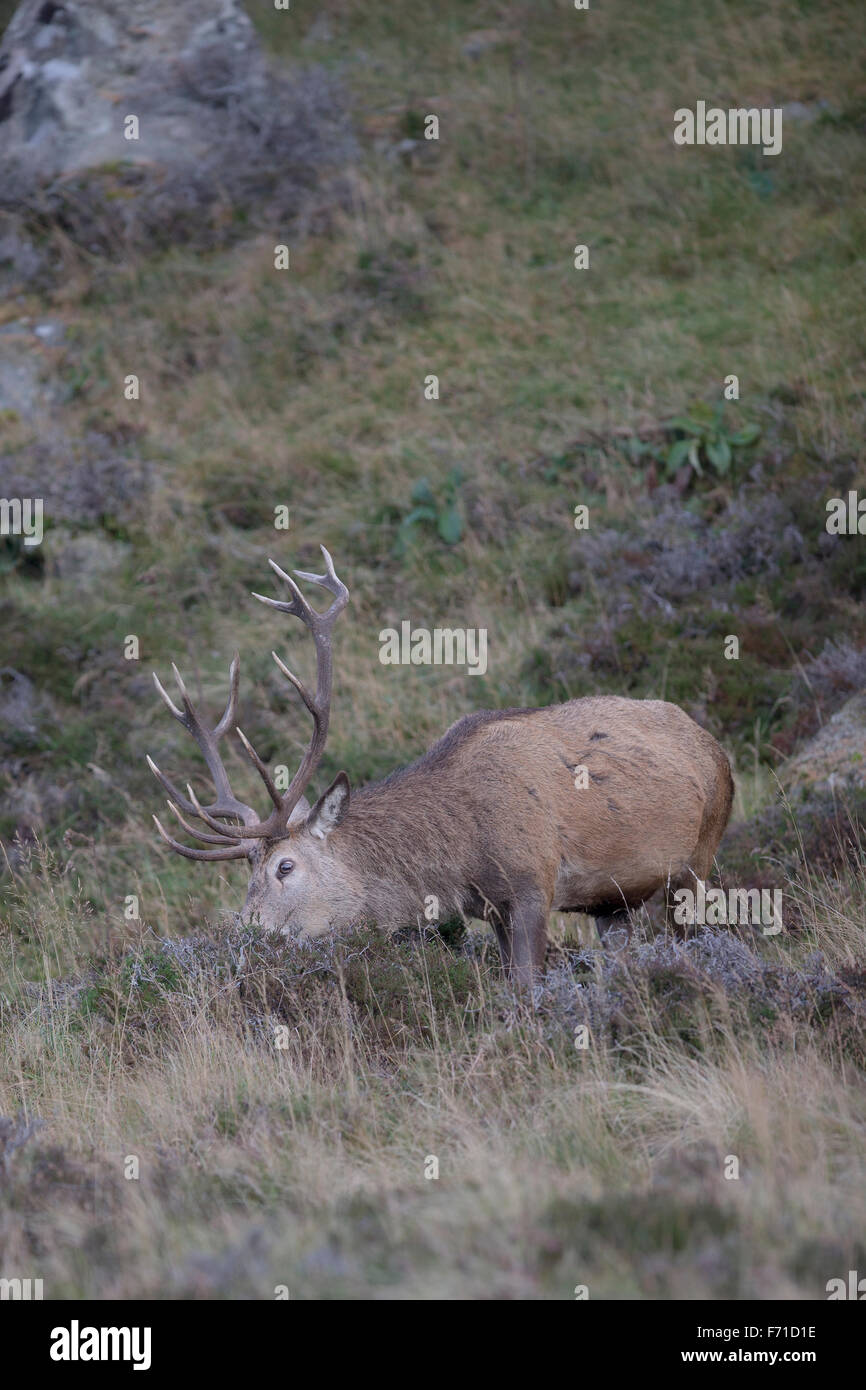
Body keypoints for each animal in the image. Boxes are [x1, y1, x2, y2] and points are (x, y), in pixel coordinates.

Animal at [148, 548, 734, 985]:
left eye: (284, 867)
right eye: (248, 869)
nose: (245, 935)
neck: (460, 849)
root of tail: (714, 747)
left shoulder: (533, 882)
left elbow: (527, 986)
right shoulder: (491, 908)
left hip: (699, 858)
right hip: (614, 902)